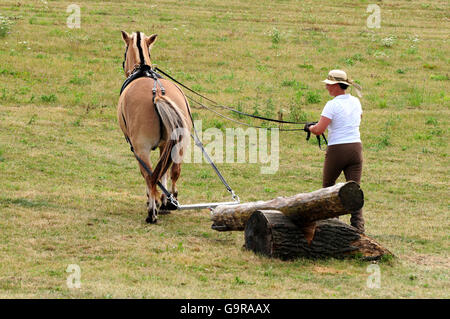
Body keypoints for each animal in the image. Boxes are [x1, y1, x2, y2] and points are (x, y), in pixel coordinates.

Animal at [117, 31, 192, 224]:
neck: (142, 70)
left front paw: (154, 201)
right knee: (174, 171)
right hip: (177, 145)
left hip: (141, 148)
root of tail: (157, 93)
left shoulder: (137, 148)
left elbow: (149, 174)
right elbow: (164, 173)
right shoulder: (164, 145)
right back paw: (171, 201)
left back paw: (152, 212)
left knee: (150, 176)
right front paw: (164, 201)